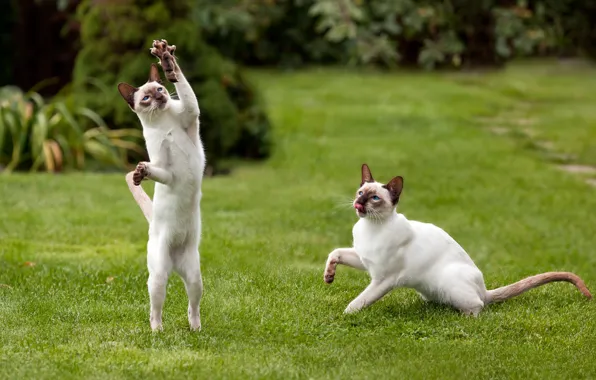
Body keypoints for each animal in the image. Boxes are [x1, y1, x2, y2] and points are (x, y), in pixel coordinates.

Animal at [117, 37, 206, 330]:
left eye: (159, 88)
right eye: (145, 98)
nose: (159, 97)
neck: (164, 121)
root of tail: (175, 266)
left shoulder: (191, 114)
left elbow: (184, 87)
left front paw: (167, 60)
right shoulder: (164, 168)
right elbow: (153, 170)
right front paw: (139, 173)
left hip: (194, 277)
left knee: (193, 306)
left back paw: (195, 329)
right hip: (158, 278)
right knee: (155, 309)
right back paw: (158, 331)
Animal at [326, 163, 592, 314]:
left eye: (375, 199)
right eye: (360, 192)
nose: (359, 203)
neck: (371, 227)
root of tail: (484, 288)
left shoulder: (383, 279)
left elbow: (359, 302)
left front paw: (345, 316)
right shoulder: (364, 260)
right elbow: (335, 252)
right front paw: (328, 276)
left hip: (451, 282)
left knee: (479, 306)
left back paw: (464, 319)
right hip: (431, 288)